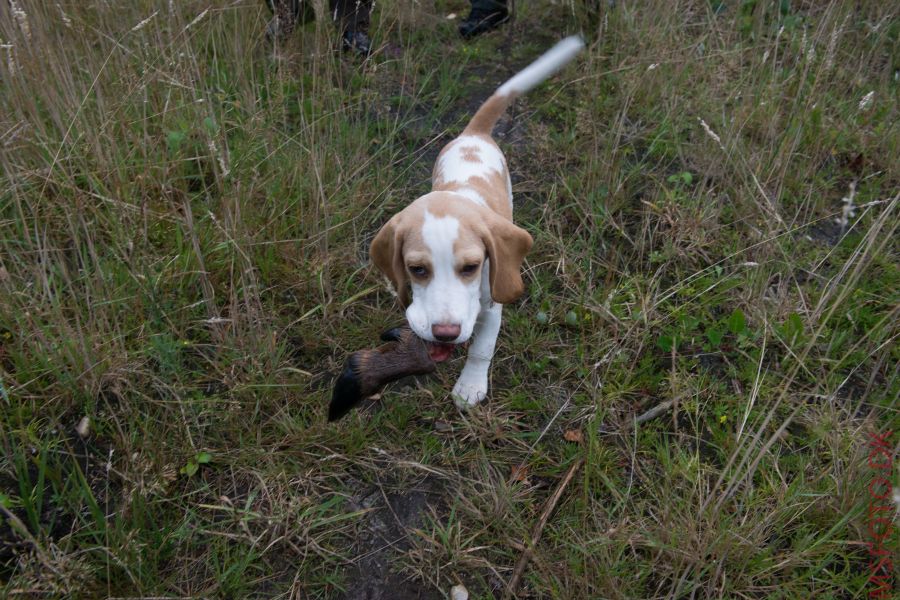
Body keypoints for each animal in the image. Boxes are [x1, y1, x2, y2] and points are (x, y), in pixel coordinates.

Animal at [370, 36, 588, 408]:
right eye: (417, 270)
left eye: (471, 267)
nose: (446, 333)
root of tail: (475, 134)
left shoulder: (492, 307)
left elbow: (481, 349)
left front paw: (470, 386)